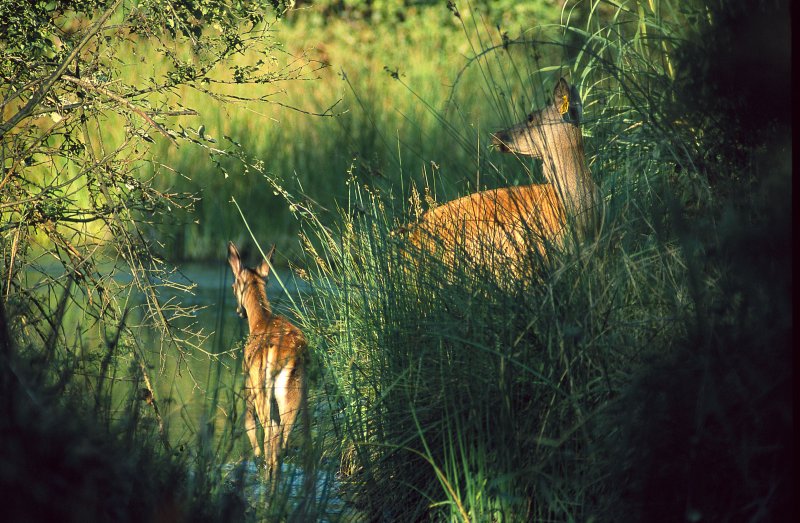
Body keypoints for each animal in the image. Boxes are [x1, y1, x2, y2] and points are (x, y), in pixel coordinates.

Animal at [228, 243, 312, 488]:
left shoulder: (247, 381)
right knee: (285, 439)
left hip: (260, 388)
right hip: (296, 393)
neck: (259, 320)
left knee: (269, 434)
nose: (239, 311)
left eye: (233, 285)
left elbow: (248, 423)